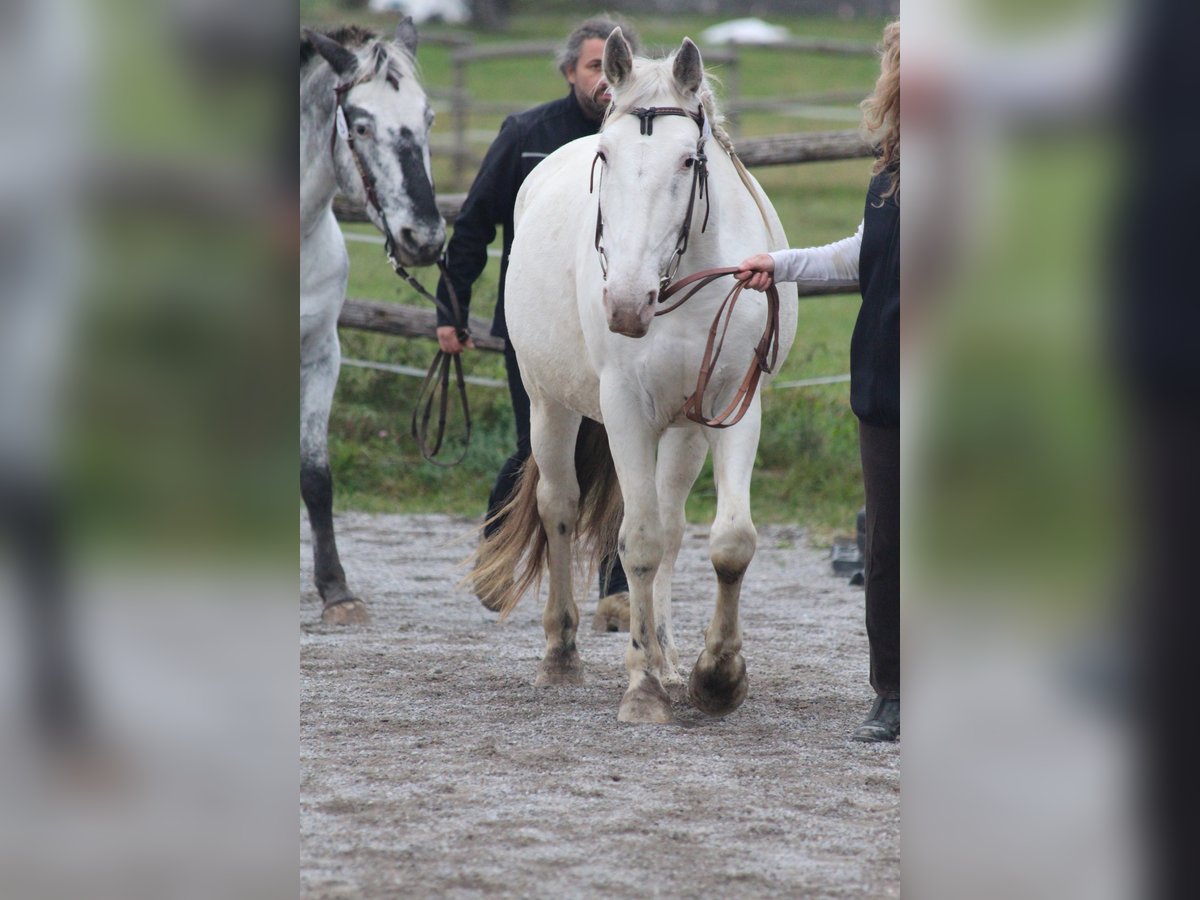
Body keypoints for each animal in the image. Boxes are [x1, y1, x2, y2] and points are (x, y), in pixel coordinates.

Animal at [475, 31, 796, 724]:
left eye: (687, 161)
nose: (625, 304)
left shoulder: (732, 406)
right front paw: (643, 688)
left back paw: (669, 658)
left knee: (672, 525)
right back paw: (562, 656)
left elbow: (728, 541)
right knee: (561, 509)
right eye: (605, 156)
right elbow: (638, 541)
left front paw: (715, 675)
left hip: (684, 429)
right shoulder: (624, 409)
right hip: (549, 405)